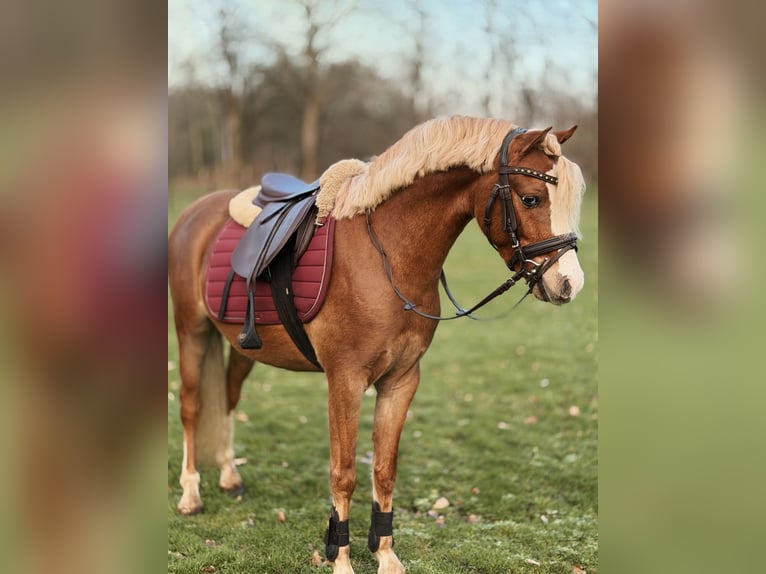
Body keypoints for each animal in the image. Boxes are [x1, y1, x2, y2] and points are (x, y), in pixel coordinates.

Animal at [168, 116, 586, 574]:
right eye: (531, 199)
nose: (569, 283)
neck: (388, 257)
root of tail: (196, 211)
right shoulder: (345, 381)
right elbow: (345, 472)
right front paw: (340, 559)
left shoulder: (401, 380)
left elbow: (384, 470)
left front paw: (386, 556)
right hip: (191, 333)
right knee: (191, 408)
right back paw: (190, 495)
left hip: (244, 347)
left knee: (227, 397)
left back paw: (229, 475)